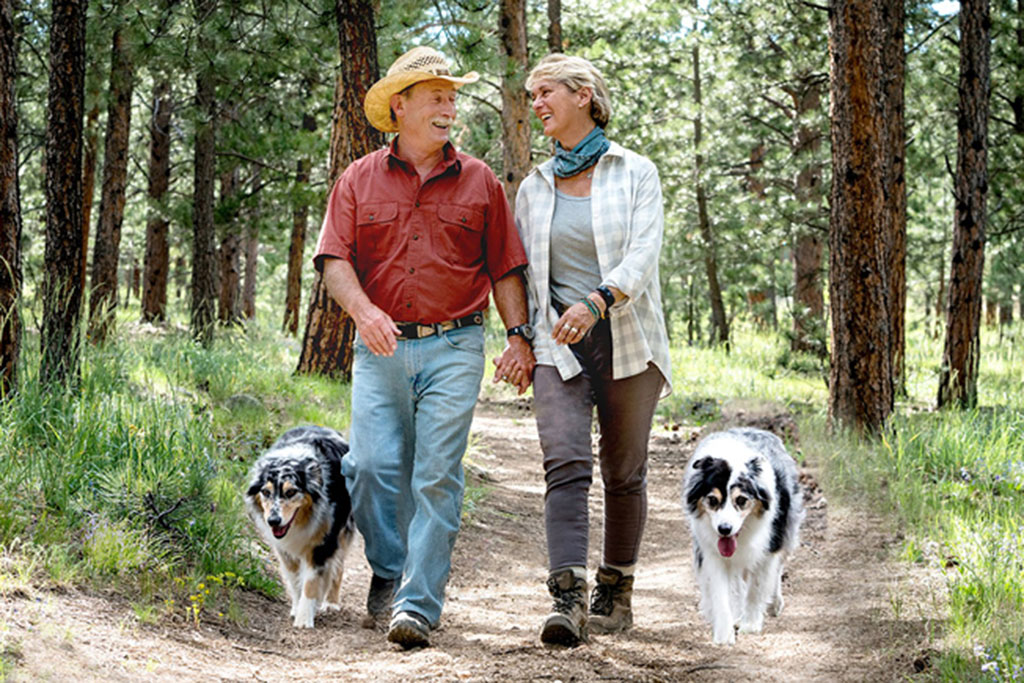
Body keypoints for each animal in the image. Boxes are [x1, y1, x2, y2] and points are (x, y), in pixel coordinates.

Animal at [243, 428, 356, 630]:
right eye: (265, 492)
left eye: (291, 492)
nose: (273, 521)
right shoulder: (284, 549)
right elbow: (295, 580)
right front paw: (297, 608)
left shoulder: (323, 543)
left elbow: (311, 582)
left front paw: (304, 619)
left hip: (343, 531)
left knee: (338, 566)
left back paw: (331, 603)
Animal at [684, 428, 802, 647]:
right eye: (712, 500)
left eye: (741, 500)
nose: (724, 529)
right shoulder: (711, 550)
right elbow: (721, 591)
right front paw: (724, 634)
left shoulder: (769, 545)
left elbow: (757, 587)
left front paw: (750, 624)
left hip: (788, 525)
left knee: (778, 567)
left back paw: (774, 603)